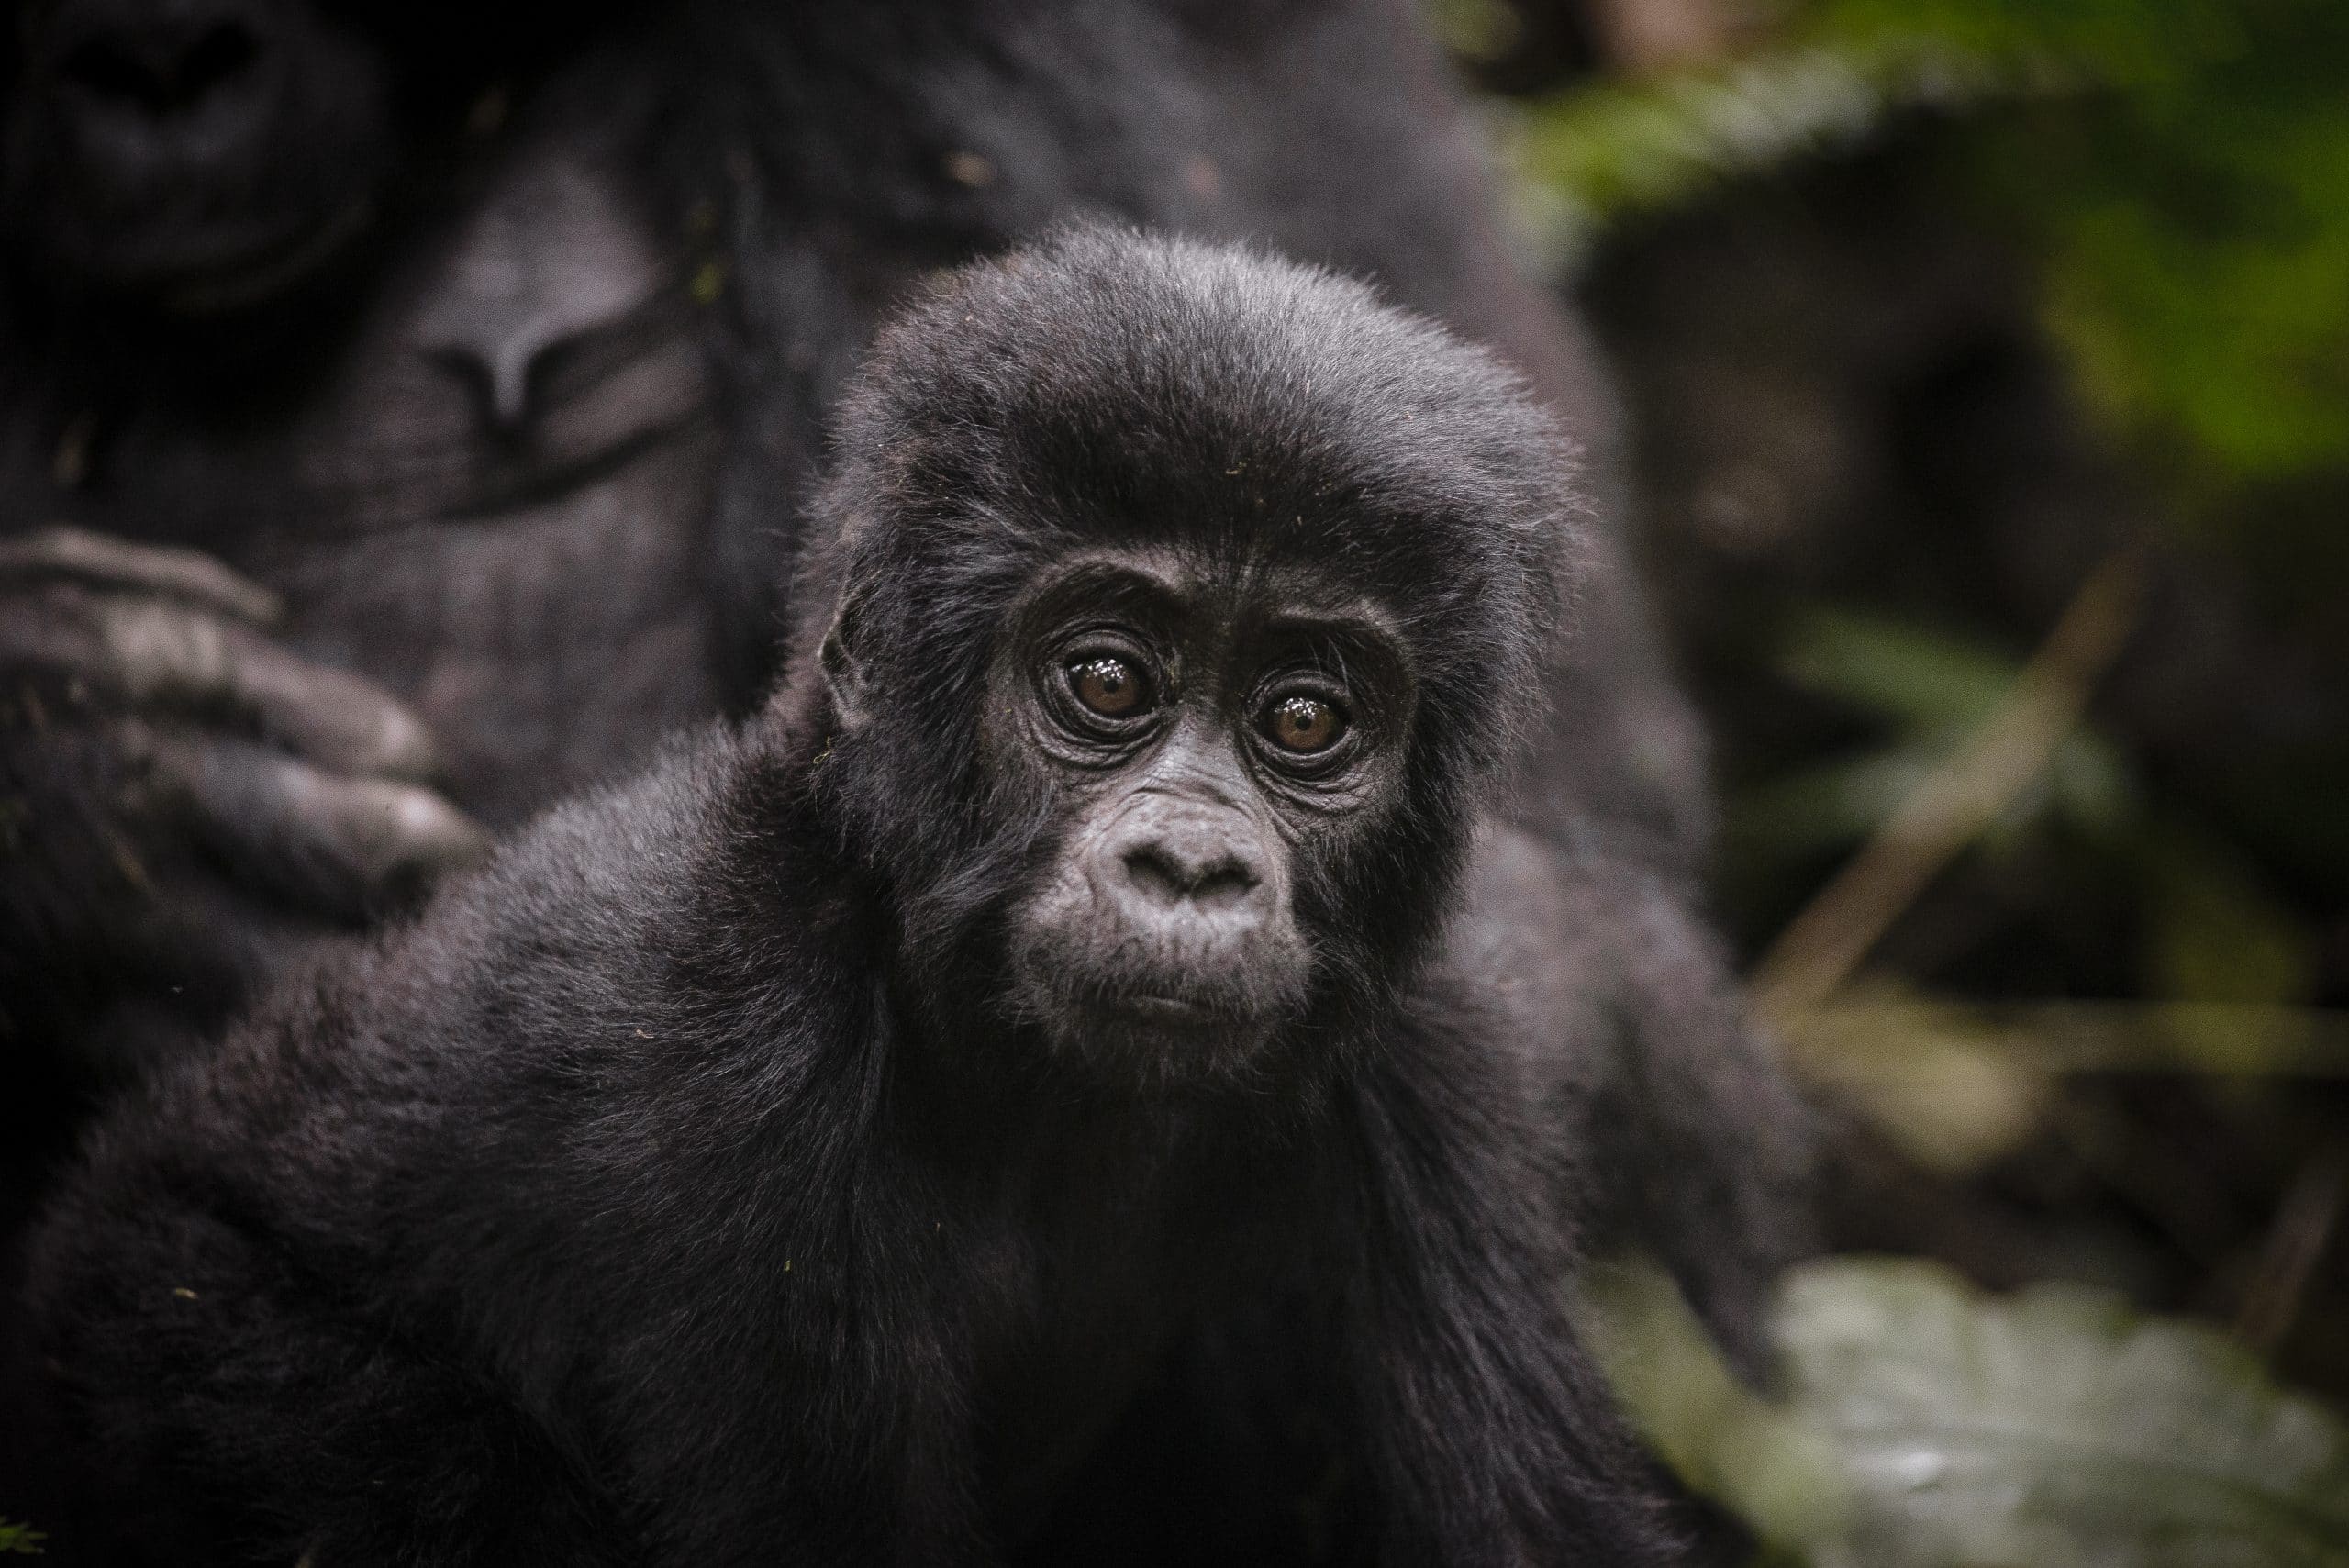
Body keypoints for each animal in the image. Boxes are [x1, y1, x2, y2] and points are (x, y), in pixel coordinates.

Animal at [9, 232, 1681, 1568]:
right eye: (1105, 681)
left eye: (1307, 718)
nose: (1193, 867)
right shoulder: (717, 1041)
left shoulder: (1431, 1056)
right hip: (162, 1333)